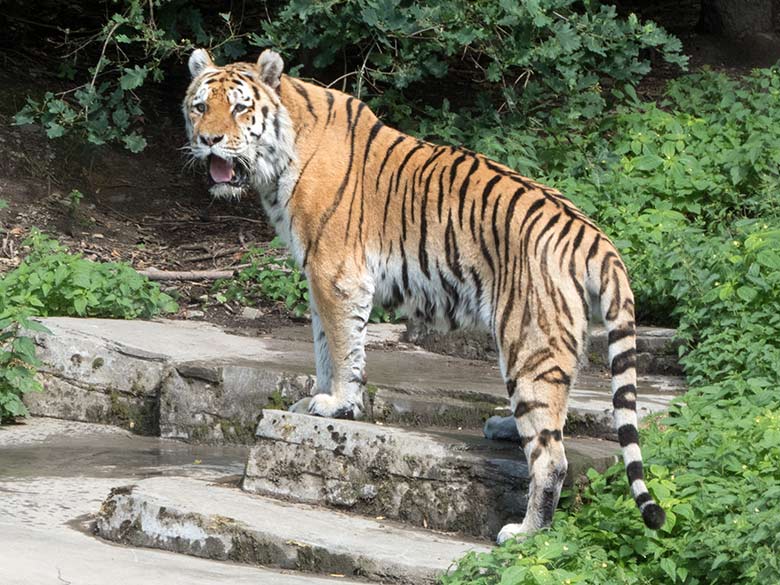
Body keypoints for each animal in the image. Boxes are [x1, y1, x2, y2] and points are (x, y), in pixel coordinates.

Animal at [181, 46, 664, 544]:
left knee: (551, 455)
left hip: (528, 342)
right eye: (200, 106)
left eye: (240, 108)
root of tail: (594, 238)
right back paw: (507, 428)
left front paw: (338, 404)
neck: (280, 156)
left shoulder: (336, 273)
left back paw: (525, 531)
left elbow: (342, 345)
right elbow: (322, 345)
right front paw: (318, 398)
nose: (209, 140)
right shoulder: (317, 277)